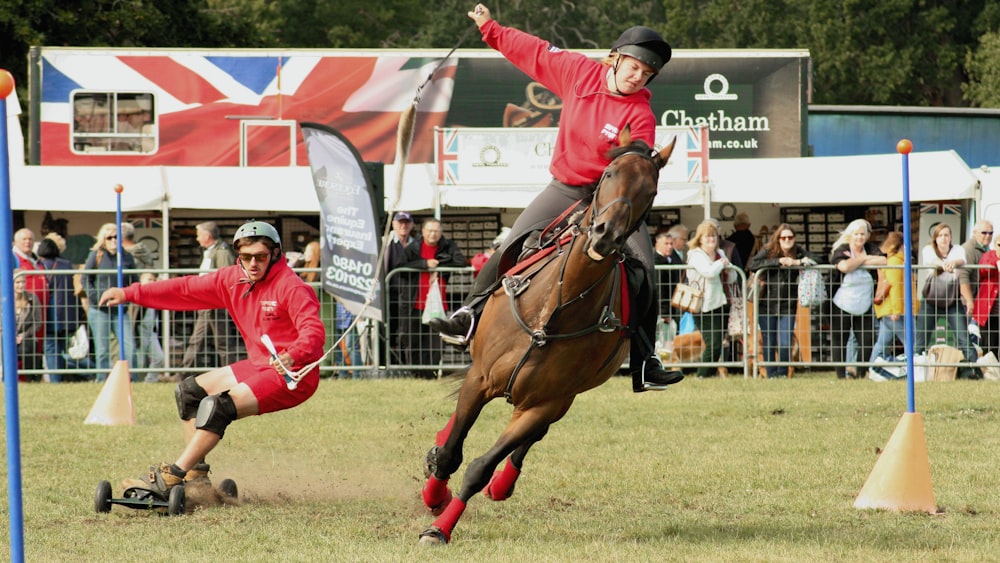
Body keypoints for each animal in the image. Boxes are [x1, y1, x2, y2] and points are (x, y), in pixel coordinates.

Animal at [418, 130, 676, 544]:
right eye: (608, 174)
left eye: (651, 191)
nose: (606, 235)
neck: (552, 310)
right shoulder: (479, 379)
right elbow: (452, 451)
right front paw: (434, 495)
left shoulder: (544, 402)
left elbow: (480, 467)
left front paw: (441, 528)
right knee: (457, 431)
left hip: (559, 401)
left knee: (528, 442)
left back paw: (503, 485)